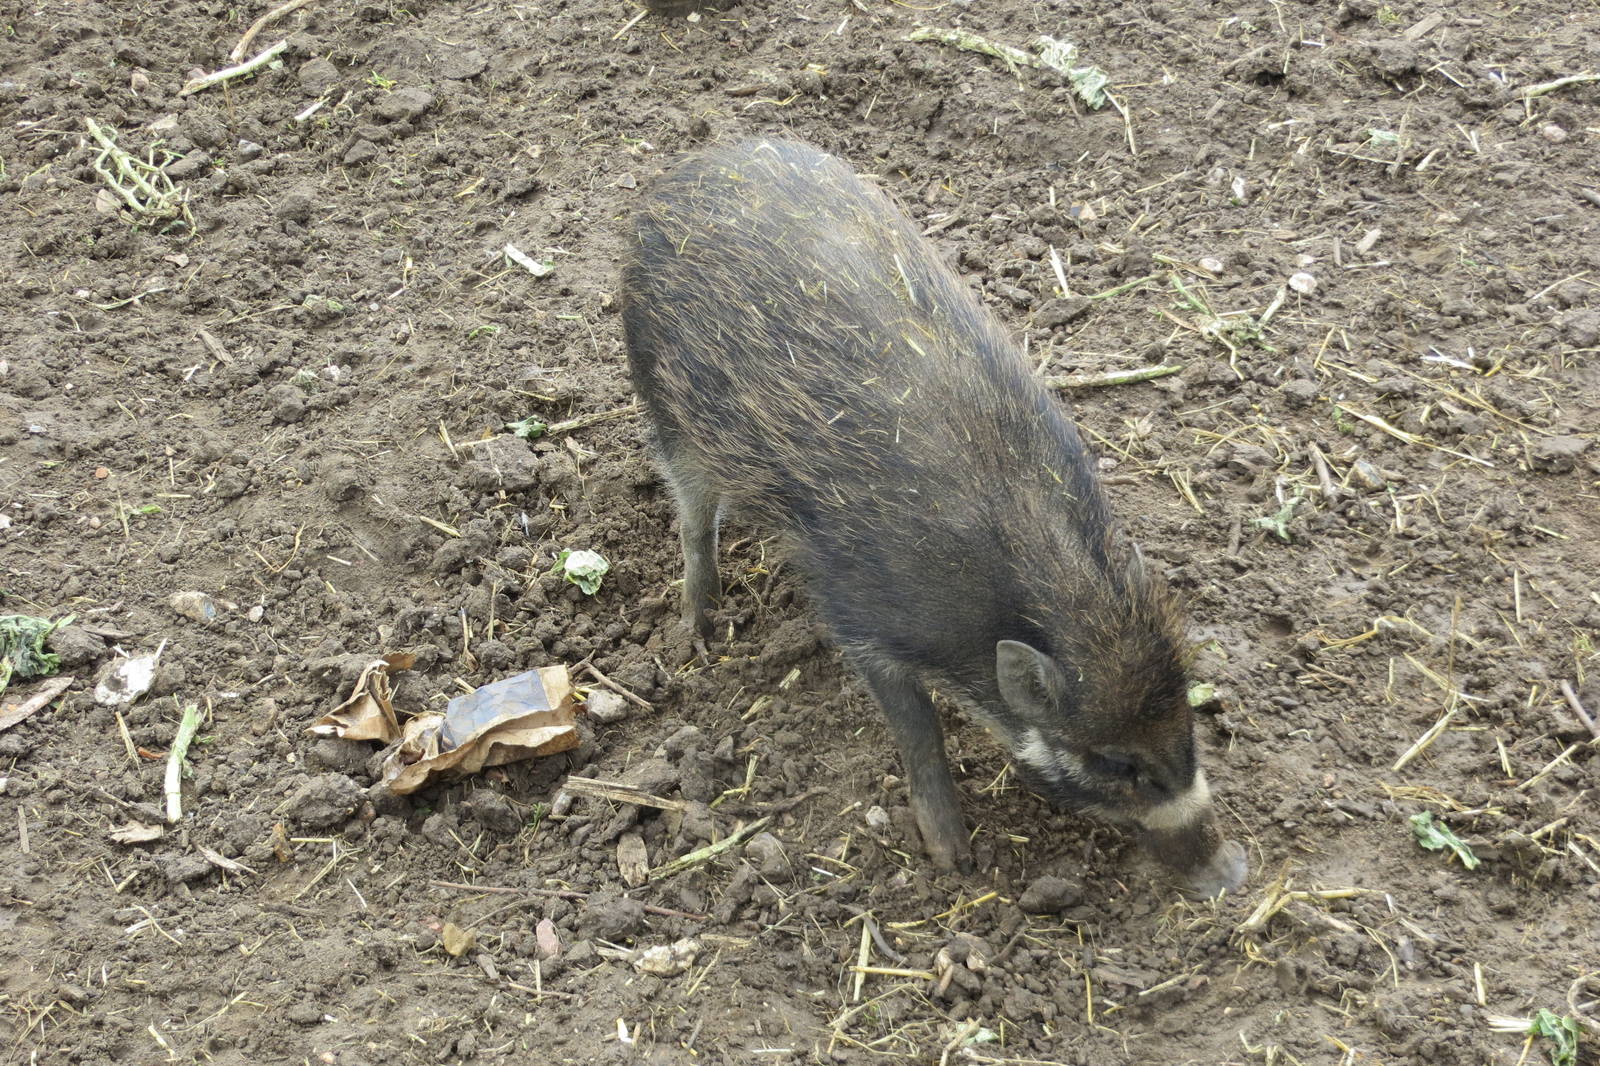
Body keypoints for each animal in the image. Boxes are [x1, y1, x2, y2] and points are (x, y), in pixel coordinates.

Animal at [620, 137, 1246, 897]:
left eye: (1187, 724)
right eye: (1116, 763)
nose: (1233, 873)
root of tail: (687, 169)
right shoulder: (862, 620)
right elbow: (920, 732)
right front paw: (953, 858)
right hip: (663, 404)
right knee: (691, 518)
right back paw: (701, 631)